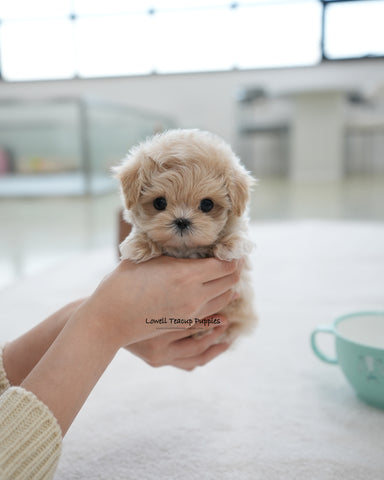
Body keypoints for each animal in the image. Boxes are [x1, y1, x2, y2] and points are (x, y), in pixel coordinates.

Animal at [114, 128, 258, 342]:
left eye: (207, 204)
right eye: (159, 203)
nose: (182, 221)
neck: (185, 249)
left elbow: (236, 234)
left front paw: (229, 244)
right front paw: (139, 245)